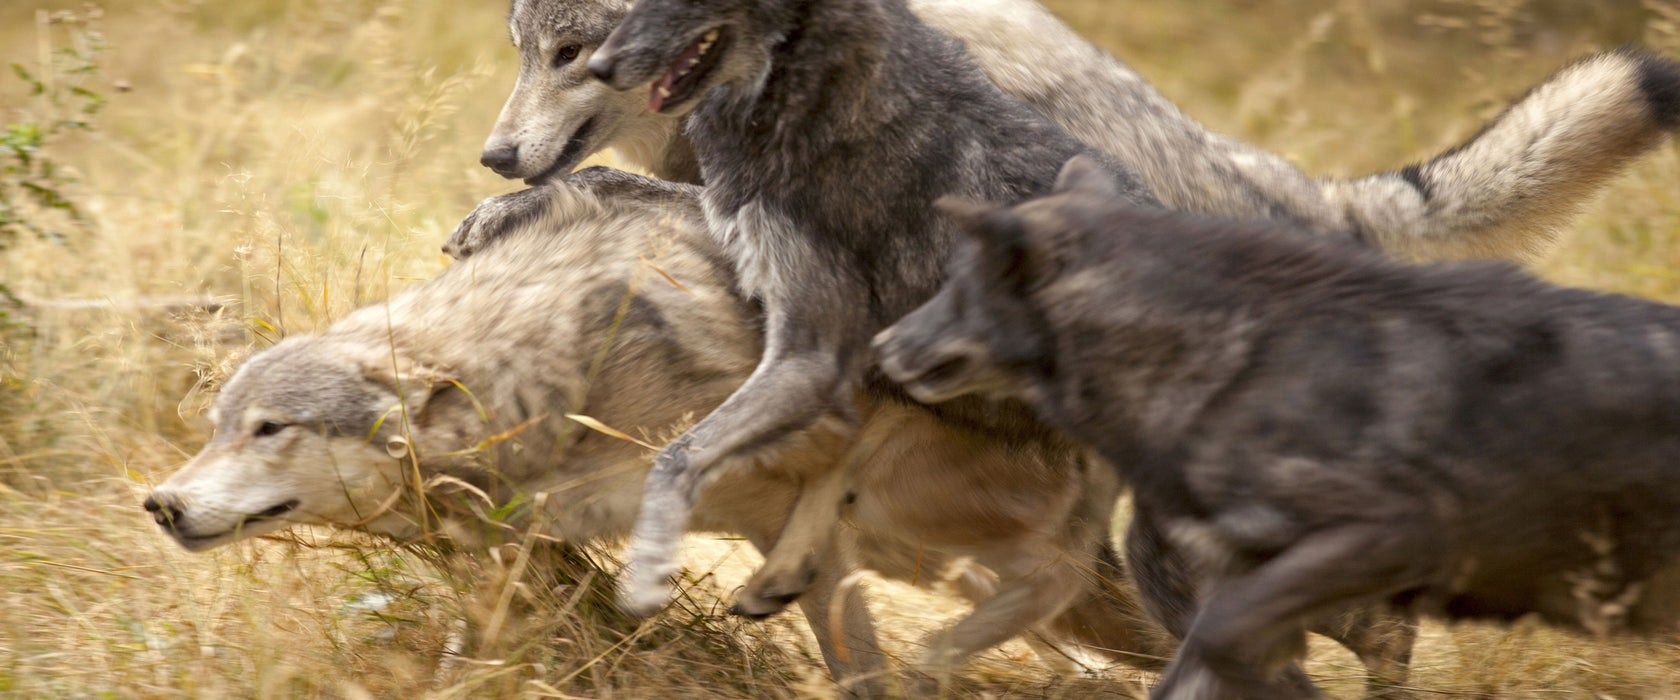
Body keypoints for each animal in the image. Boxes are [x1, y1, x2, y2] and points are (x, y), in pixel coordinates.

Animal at [144, 169, 1176, 688]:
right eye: (218, 427)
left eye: (270, 430)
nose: (159, 503)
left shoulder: (778, 477)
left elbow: (848, 618)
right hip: (920, 547)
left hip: (923, 510)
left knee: (1052, 577)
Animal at [873, 157, 1680, 698]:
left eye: (957, 286)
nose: (881, 348)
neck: (1236, 362)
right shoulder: (1238, 579)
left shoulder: (1388, 539)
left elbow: (1236, 648)